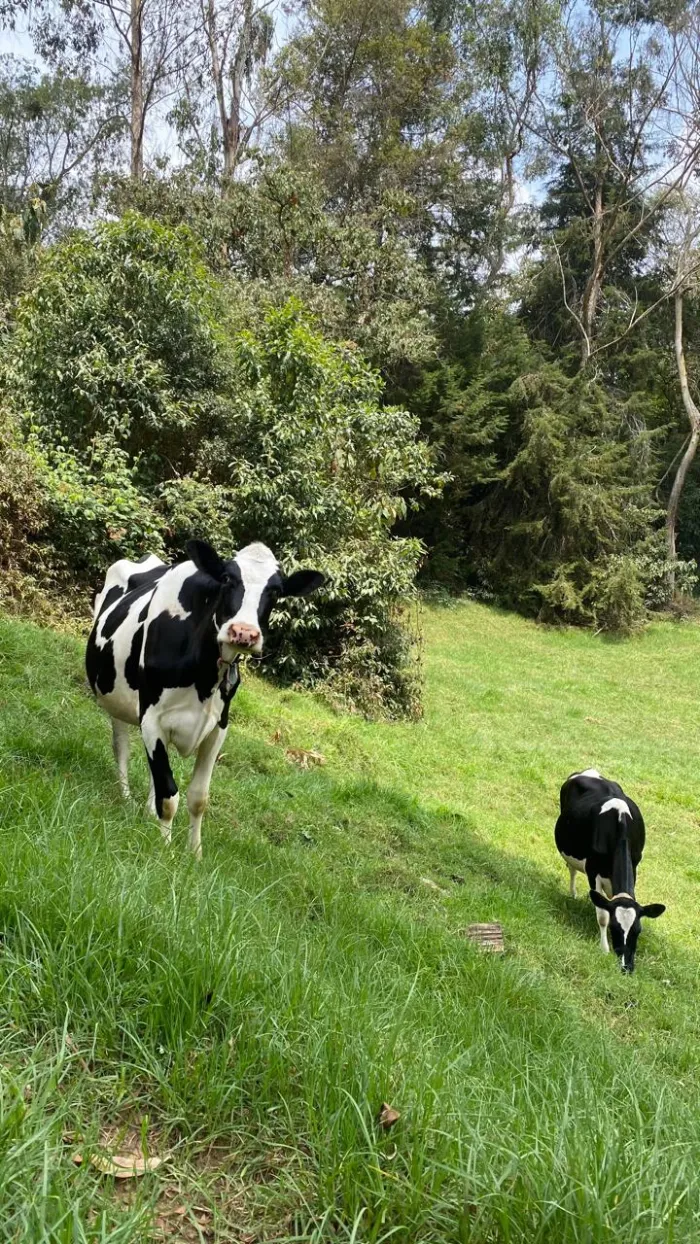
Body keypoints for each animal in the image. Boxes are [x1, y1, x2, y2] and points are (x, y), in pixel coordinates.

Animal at [86, 539, 325, 857]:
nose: (243, 633)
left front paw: (195, 854)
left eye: (275, 591)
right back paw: (126, 798)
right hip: (114, 696)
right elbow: (169, 793)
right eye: (227, 579)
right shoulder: (151, 718)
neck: (204, 674)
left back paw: (148, 811)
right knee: (122, 747)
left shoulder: (218, 727)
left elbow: (198, 796)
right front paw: (166, 849)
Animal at [554, 769, 665, 972]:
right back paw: (573, 893)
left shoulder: (634, 866)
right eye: (615, 928)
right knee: (572, 869)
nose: (626, 966)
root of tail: (588, 771)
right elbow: (602, 915)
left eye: (638, 930)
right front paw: (604, 948)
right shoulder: (592, 871)